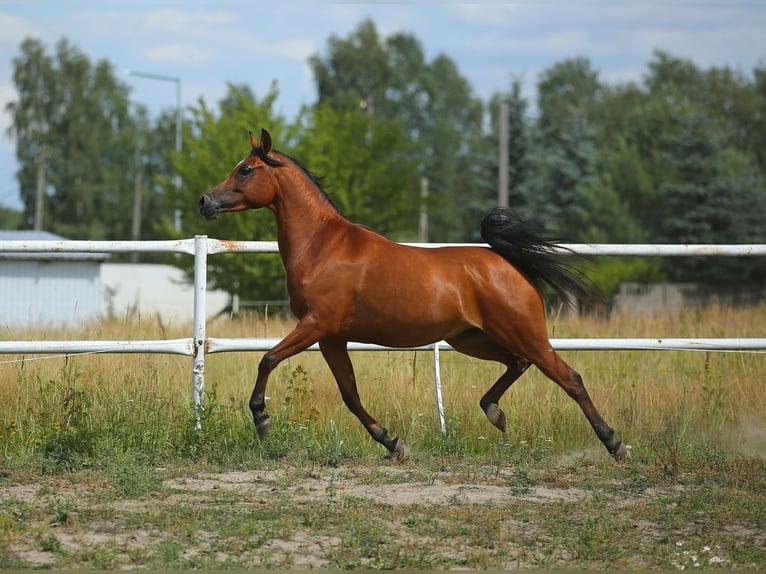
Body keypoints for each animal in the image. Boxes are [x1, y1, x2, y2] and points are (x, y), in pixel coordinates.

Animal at [198, 129, 632, 464]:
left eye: (246, 169)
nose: (204, 201)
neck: (323, 246)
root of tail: (509, 263)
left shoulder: (316, 325)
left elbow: (268, 359)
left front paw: (261, 419)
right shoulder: (332, 337)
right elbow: (350, 394)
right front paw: (393, 443)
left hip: (523, 333)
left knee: (569, 378)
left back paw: (614, 444)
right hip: (473, 338)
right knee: (518, 364)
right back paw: (495, 413)